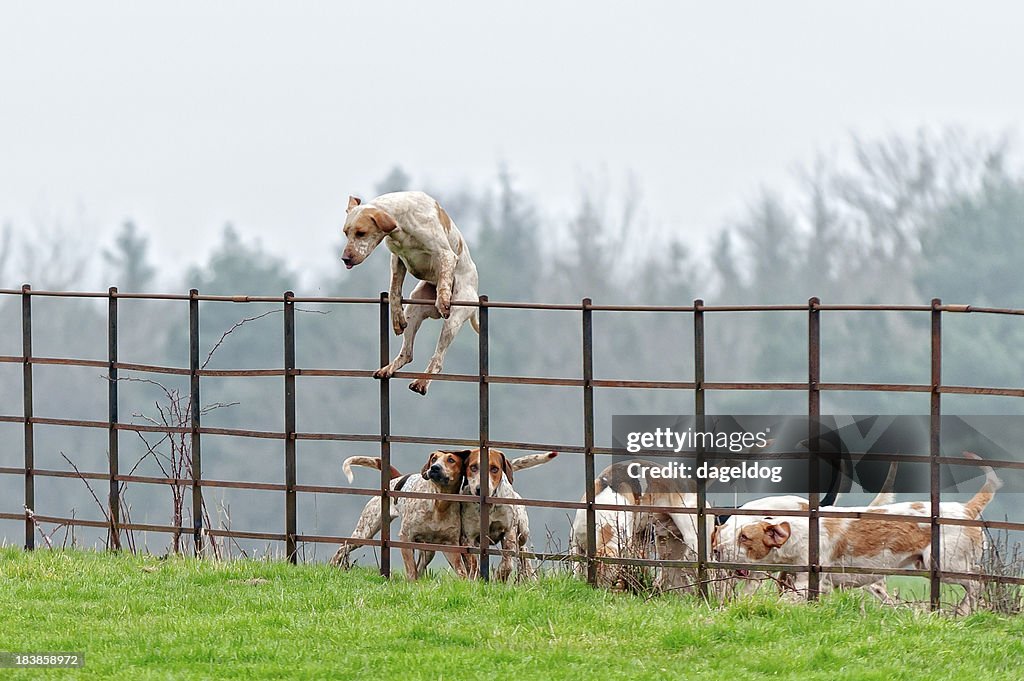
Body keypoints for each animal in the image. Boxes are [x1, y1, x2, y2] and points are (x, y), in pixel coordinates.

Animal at [337, 189, 477, 393]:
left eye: (361, 233)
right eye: (346, 233)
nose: (345, 258)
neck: (402, 222)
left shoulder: (445, 254)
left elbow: (444, 280)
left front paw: (442, 299)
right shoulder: (397, 259)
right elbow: (394, 291)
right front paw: (396, 317)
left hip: (454, 320)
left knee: (438, 359)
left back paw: (421, 382)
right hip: (415, 308)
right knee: (408, 353)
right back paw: (389, 368)